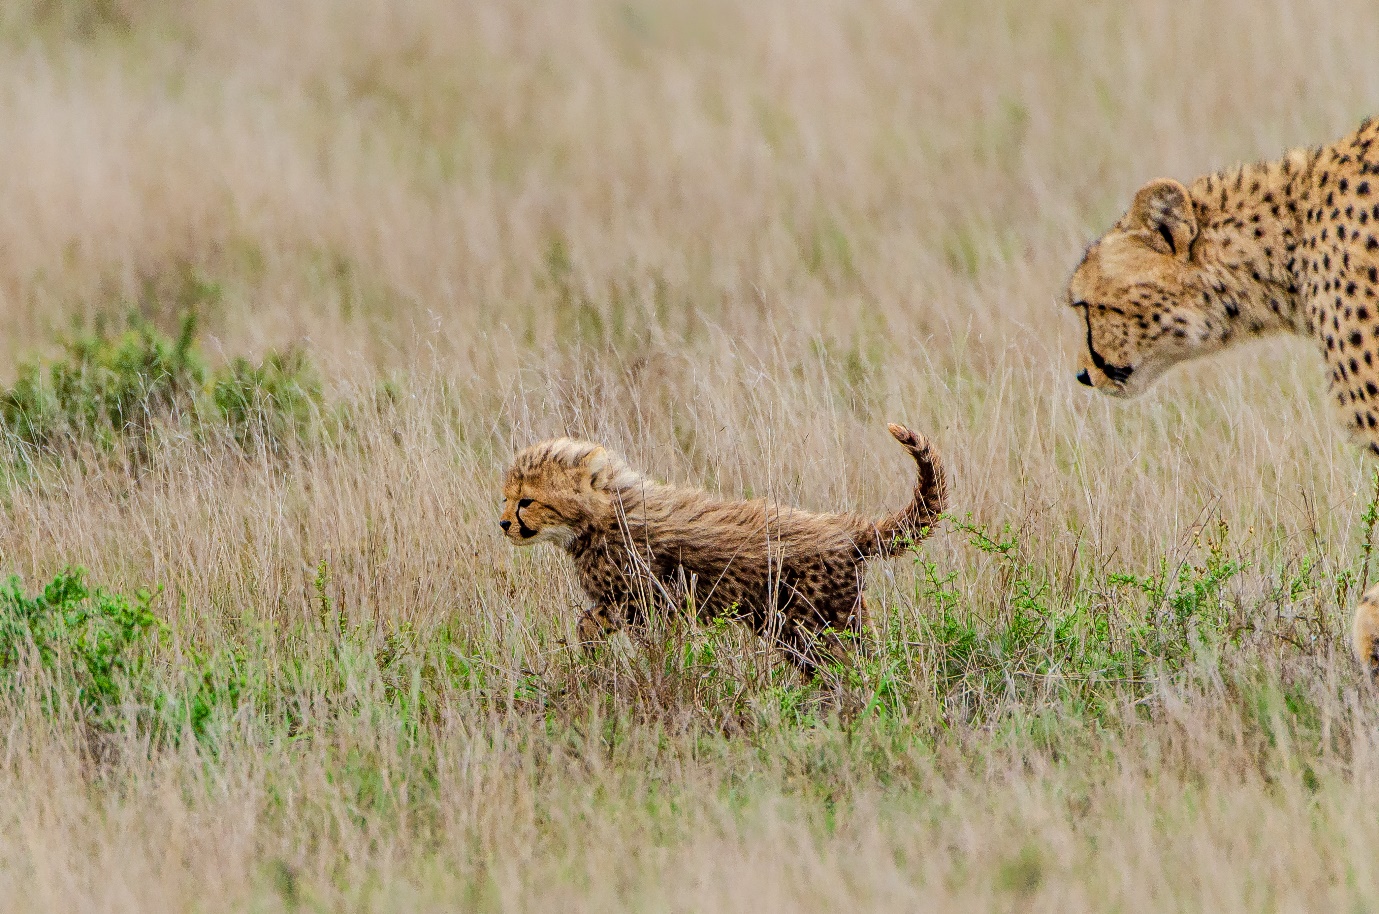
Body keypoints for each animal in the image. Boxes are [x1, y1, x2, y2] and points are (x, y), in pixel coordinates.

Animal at [499, 423, 947, 670]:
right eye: (506, 497)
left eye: (527, 501)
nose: (503, 523)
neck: (605, 512)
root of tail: (846, 527)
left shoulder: (651, 599)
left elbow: (593, 621)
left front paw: (594, 647)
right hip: (798, 628)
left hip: (822, 623)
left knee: (856, 664)